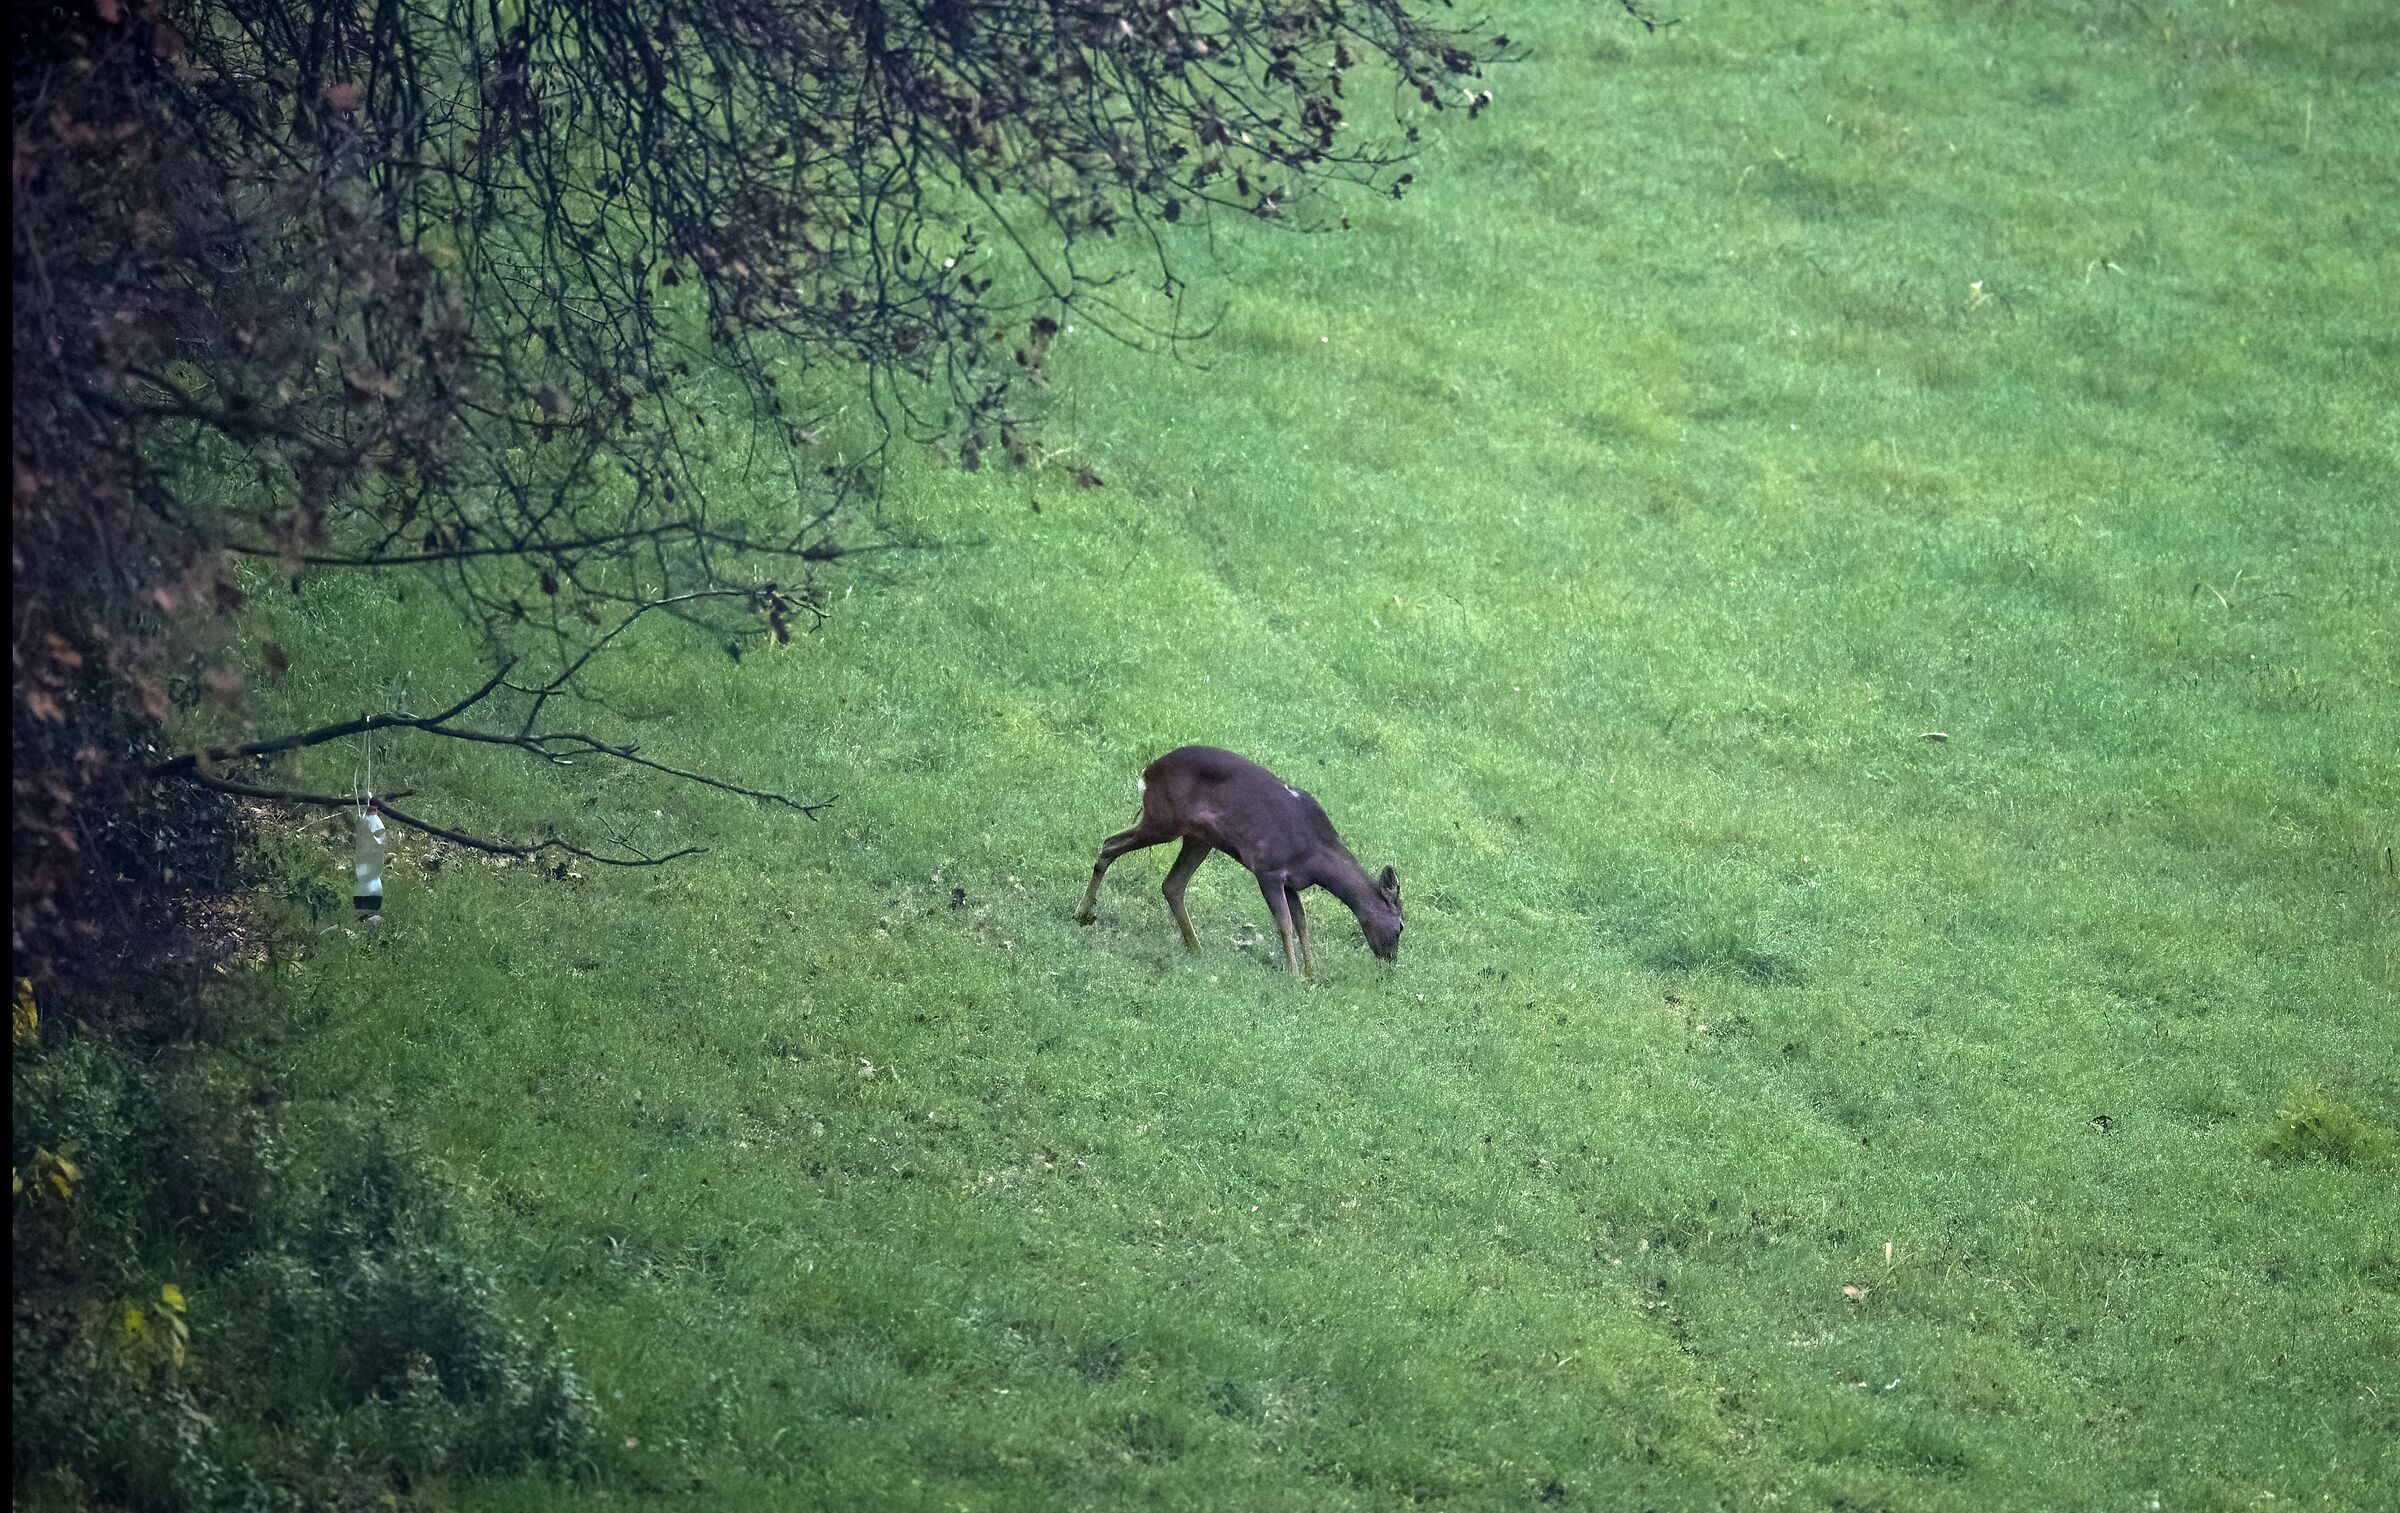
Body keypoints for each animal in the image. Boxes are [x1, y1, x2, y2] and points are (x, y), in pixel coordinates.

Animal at [1074, 746, 1402, 976]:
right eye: (1400, 926)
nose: (1390, 959)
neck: (1316, 855)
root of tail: (1147, 773)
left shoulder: (1291, 881)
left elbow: (1301, 922)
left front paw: (1312, 973)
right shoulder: (1268, 868)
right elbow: (1285, 923)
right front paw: (1295, 974)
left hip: (1198, 838)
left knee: (1172, 884)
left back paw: (1196, 947)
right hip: (1163, 820)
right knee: (1110, 844)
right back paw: (1083, 913)